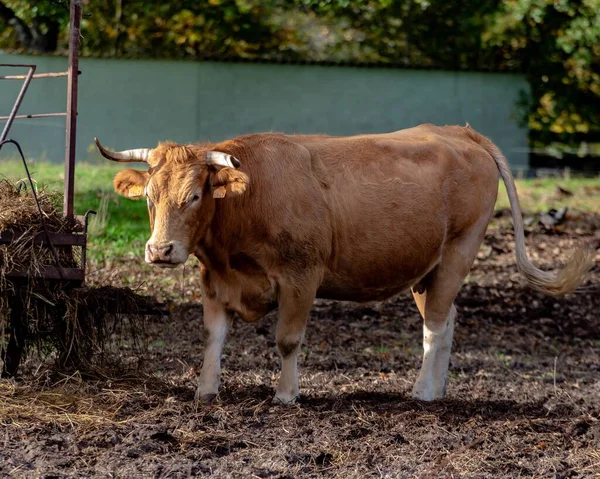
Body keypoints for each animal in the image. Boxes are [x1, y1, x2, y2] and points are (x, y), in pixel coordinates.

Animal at [94, 124, 592, 404]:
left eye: (195, 195)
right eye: (149, 196)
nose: (160, 250)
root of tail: (459, 132)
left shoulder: (301, 276)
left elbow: (287, 340)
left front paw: (285, 395)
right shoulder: (214, 280)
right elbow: (212, 338)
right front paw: (205, 390)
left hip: (459, 251)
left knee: (434, 326)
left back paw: (424, 394)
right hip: (426, 268)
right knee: (446, 319)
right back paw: (437, 388)